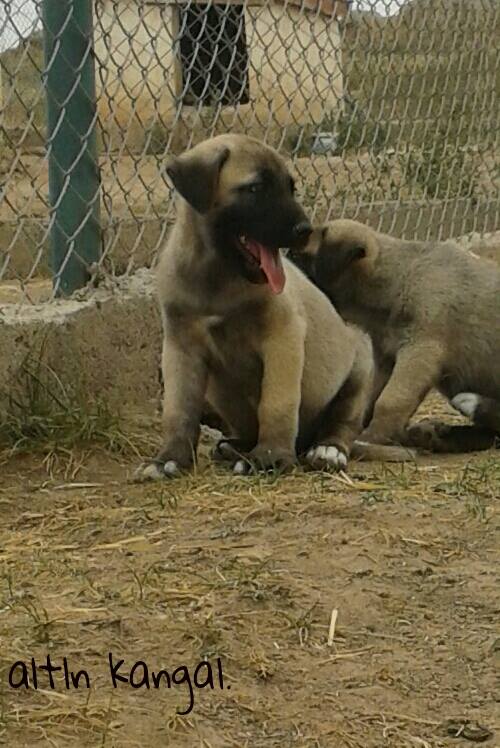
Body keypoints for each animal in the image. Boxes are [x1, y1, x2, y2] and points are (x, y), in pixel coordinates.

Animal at [137, 138, 378, 482]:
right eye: (255, 189)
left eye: (290, 188)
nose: (305, 229)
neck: (218, 276)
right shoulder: (180, 347)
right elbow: (179, 409)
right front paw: (170, 458)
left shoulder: (282, 338)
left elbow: (276, 403)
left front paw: (269, 457)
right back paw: (234, 446)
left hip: (359, 369)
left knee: (342, 423)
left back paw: (327, 450)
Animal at [294, 216, 500, 450]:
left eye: (299, 257)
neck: (397, 279)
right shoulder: (386, 359)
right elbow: (373, 399)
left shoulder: (420, 353)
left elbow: (391, 400)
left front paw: (371, 437)